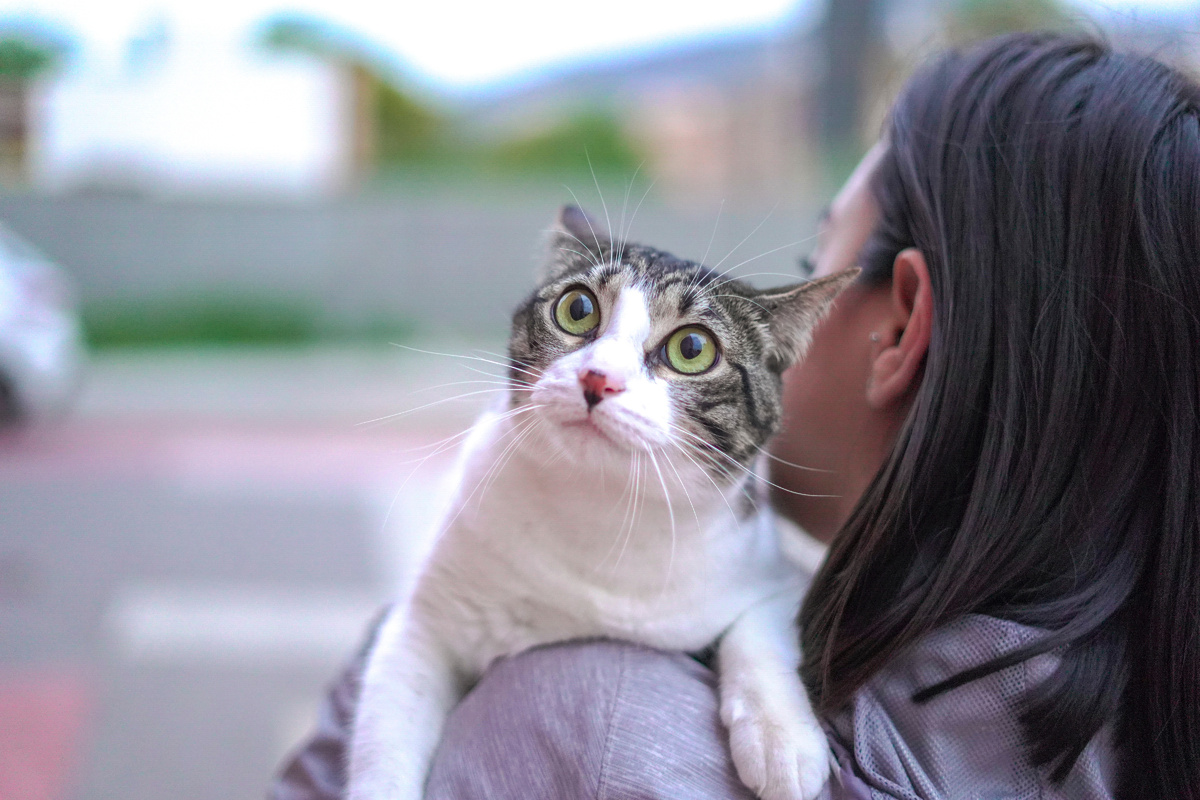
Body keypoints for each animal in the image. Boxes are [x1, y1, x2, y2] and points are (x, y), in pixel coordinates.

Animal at [343, 208, 859, 800]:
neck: (600, 514)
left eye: (692, 348)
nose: (599, 377)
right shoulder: (420, 623)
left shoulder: (779, 575)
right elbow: (386, 741)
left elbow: (761, 632)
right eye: (578, 309)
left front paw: (783, 742)